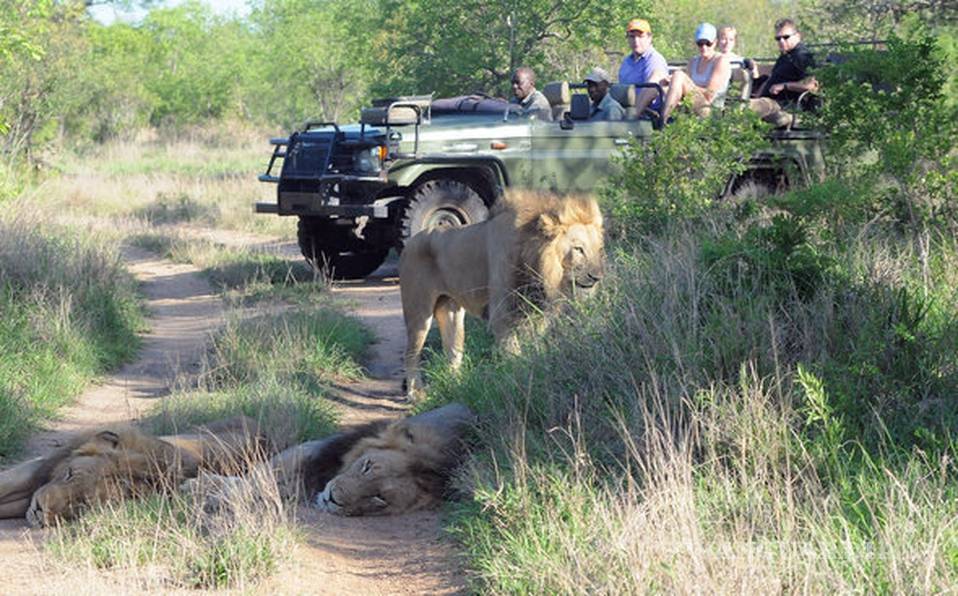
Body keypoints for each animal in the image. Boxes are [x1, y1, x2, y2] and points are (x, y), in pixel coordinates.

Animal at [399, 191, 605, 396]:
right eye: (578, 249)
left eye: (598, 250)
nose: (597, 277)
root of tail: (410, 243)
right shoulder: (503, 315)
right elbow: (513, 353)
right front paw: (517, 377)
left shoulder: (536, 316)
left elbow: (534, 348)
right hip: (419, 312)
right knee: (411, 353)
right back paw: (416, 394)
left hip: (451, 311)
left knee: (452, 351)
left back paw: (454, 386)